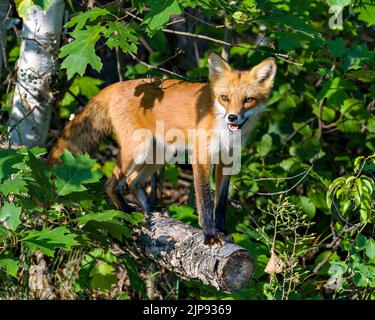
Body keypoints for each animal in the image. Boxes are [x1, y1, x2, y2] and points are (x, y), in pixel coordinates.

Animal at [47, 53, 276, 244]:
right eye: (225, 98)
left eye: (248, 100)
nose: (232, 117)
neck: (224, 132)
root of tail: (116, 85)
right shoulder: (201, 157)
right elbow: (205, 202)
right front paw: (210, 235)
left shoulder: (227, 160)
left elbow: (220, 204)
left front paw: (222, 231)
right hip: (139, 149)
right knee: (111, 184)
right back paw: (126, 212)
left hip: (161, 154)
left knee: (132, 182)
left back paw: (150, 211)